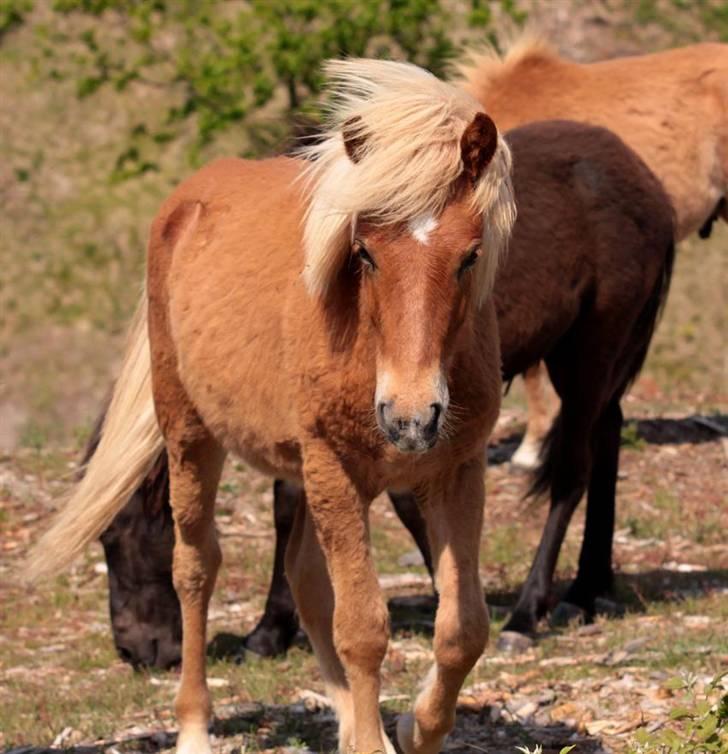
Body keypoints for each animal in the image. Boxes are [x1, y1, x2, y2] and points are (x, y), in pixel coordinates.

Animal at [25, 60, 516, 752]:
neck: (367, 342)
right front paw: (377, 737)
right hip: (192, 438)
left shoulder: (454, 471)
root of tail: (186, 201)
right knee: (196, 568)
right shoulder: (334, 467)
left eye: (470, 256)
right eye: (364, 252)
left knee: (305, 578)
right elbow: (362, 628)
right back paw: (194, 727)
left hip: (304, 471)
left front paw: (413, 728)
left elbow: (462, 629)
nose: (410, 417)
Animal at [94, 120, 672, 668]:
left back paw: (529, 612)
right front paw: (273, 629)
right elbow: (293, 506)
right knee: (608, 439)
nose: (141, 651)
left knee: (572, 473)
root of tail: (647, 182)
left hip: (589, 353)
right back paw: (588, 588)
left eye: (117, 537)